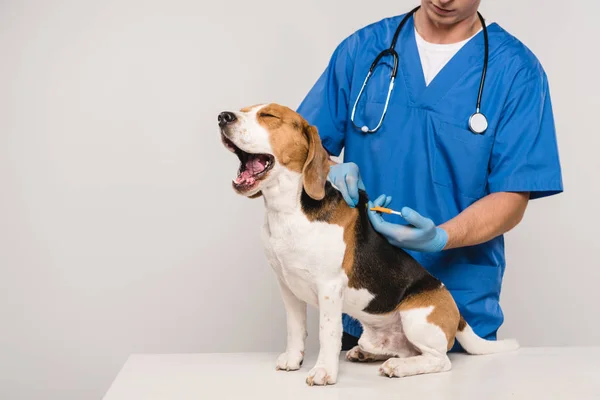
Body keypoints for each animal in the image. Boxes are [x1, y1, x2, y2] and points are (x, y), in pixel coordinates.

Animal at [218, 104, 516, 386]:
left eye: (269, 116)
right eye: (243, 111)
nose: (223, 117)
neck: (289, 210)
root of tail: (457, 314)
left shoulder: (329, 287)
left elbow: (328, 333)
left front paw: (324, 371)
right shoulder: (287, 286)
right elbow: (295, 328)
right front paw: (293, 359)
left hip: (416, 319)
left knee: (439, 360)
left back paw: (399, 367)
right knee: (404, 349)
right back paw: (367, 353)